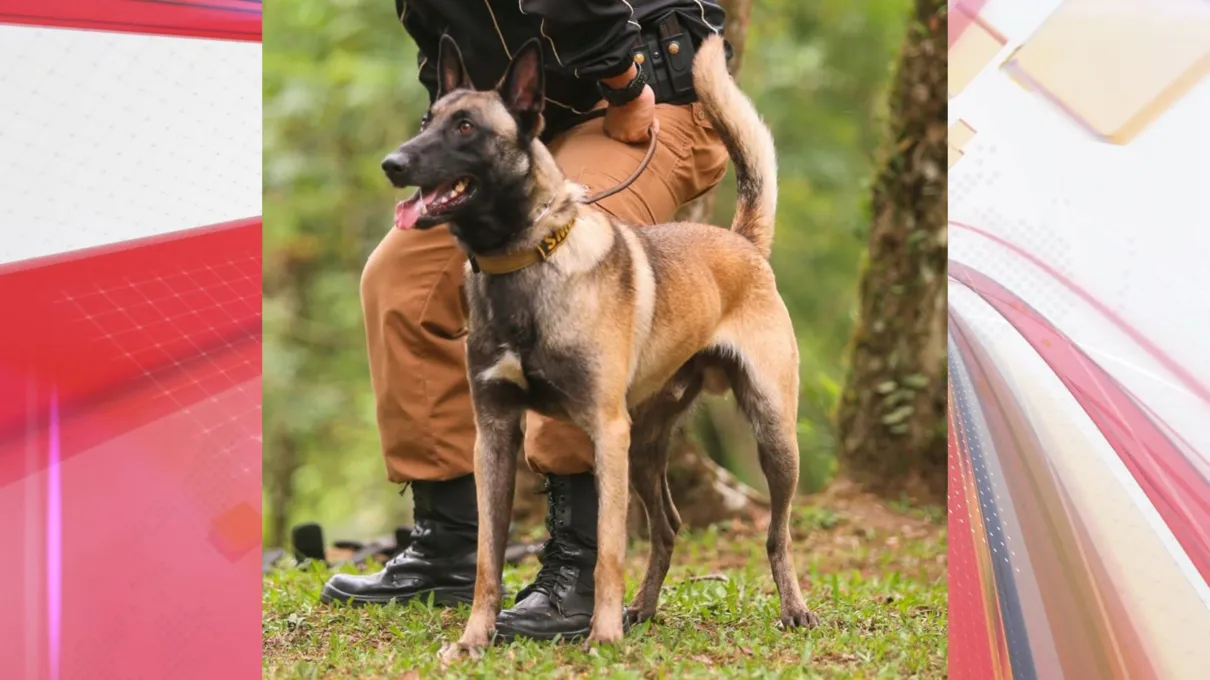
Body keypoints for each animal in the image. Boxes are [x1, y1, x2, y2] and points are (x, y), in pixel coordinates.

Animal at [384, 33, 822, 658]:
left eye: (466, 127)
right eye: (428, 121)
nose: (392, 164)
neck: (523, 264)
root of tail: (742, 243)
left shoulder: (603, 430)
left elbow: (608, 551)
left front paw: (603, 634)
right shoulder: (493, 436)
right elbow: (488, 559)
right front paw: (472, 640)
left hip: (771, 434)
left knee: (776, 533)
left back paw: (792, 608)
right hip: (644, 447)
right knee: (668, 526)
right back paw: (644, 607)